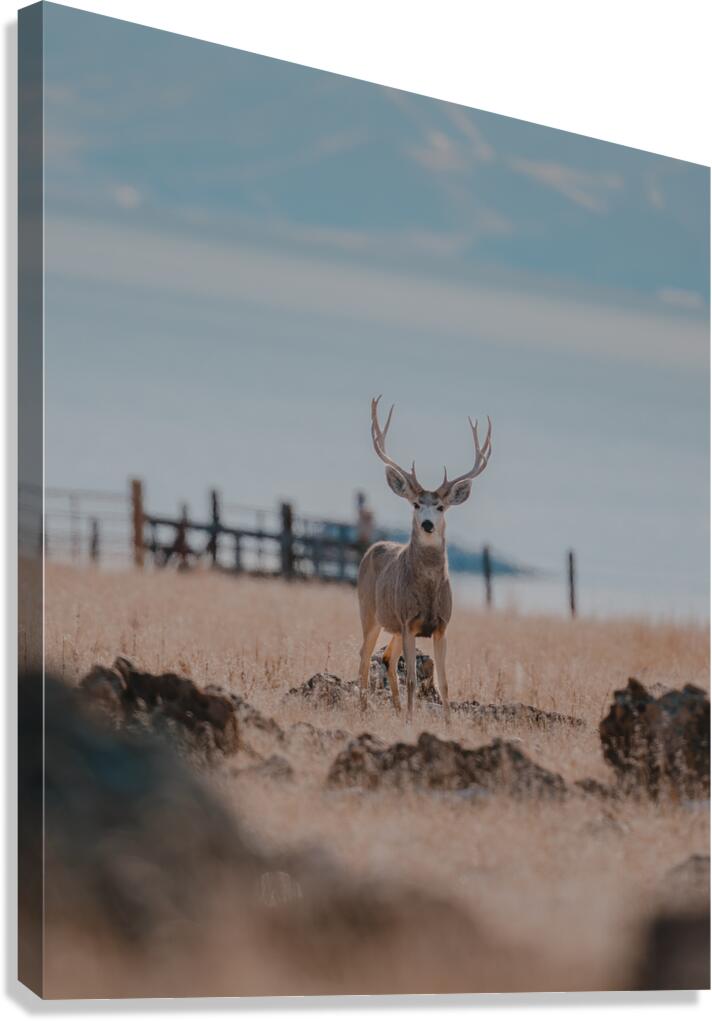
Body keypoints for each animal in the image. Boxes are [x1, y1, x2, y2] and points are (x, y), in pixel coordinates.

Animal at [357, 396, 492, 723]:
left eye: (441, 507)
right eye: (417, 504)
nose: (428, 524)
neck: (429, 590)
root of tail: (371, 548)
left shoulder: (441, 625)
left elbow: (444, 681)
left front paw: (448, 723)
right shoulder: (409, 620)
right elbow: (413, 680)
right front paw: (411, 720)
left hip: (392, 625)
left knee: (388, 658)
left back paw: (394, 709)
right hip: (369, 611)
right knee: (365, 656)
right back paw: (364, 708)